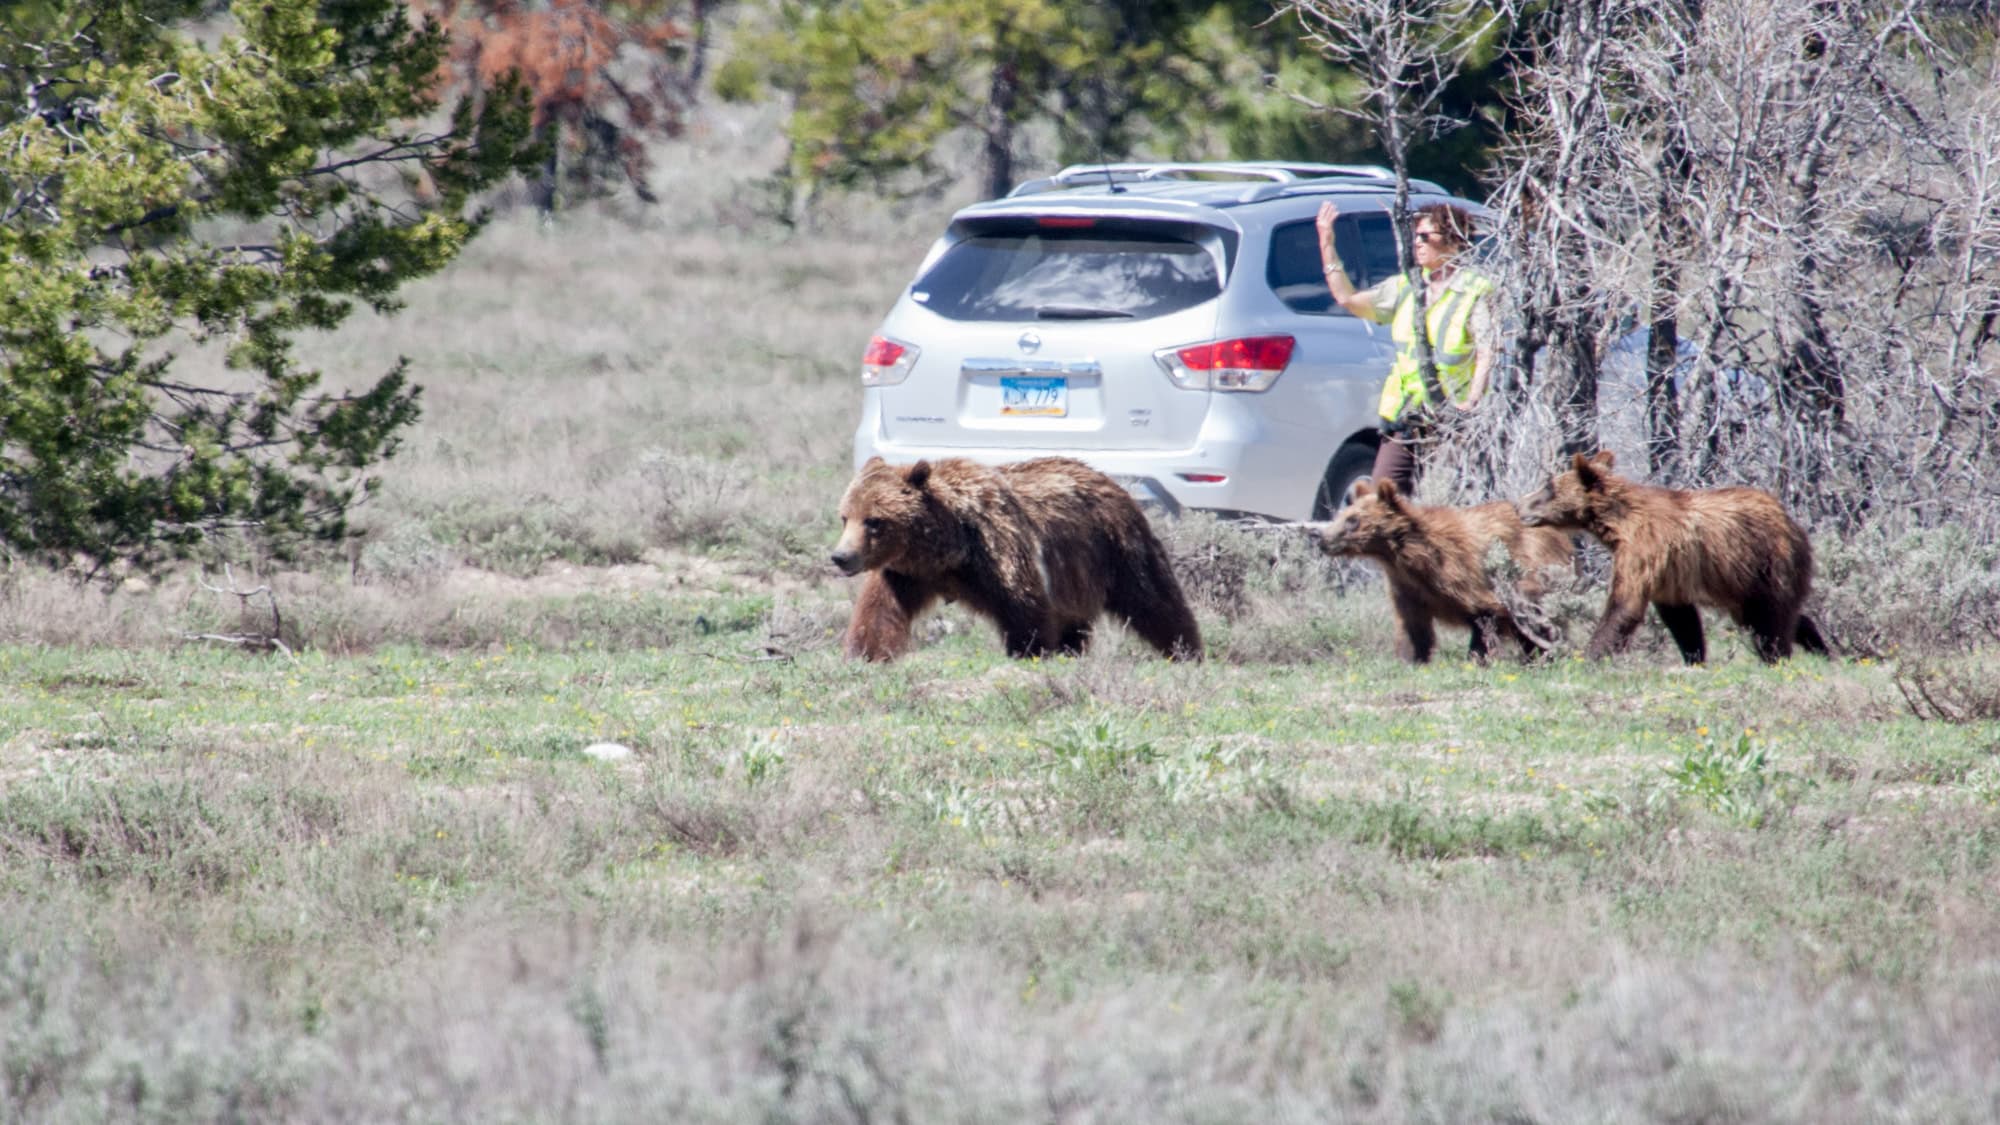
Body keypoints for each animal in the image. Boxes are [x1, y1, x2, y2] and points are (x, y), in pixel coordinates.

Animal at [830, 456, 1202, 662]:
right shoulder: (905, 574)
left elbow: (1026, 610)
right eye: (845, 516)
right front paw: (863, 655)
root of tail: (1110, 480)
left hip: (1117, 549)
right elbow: (878, 614)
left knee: (1154, 601)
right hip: (1077, 578)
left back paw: (1186, 651)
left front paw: (1029, 653)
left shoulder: (1000, 551)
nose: (841, 557)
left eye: (874, 521)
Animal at [1313, 477, 1575, 663]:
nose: (1322, 539)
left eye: (1353, 520)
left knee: (1536, 619)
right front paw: (1409, 658)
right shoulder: (1407, 588)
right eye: (1343, 515)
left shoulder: (1464, 573)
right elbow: (1412, 627)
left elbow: (1484, 616)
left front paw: (1476, 658)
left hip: (1534, 569)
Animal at [1515, 449, 1831, 665]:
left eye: (1548, 487)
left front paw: (1587, 657)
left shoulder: (1644, 550)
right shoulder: (1668, 574)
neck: (1618, 523)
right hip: (1743, 583)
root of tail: (1791, 520)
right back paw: (1822, 648)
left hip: (1768, 562)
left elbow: (1624, 605)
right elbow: (1681, 617)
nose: (1520, 505)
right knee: (1773, 616)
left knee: (1770, 620)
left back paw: (1778, 657)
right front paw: (1694, 658)